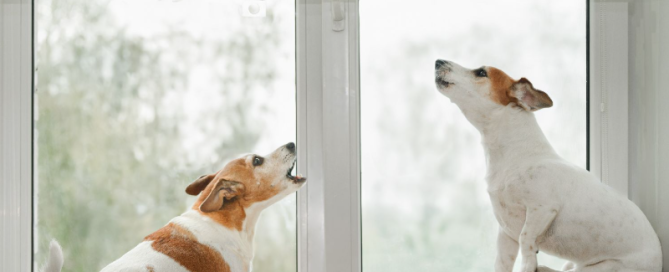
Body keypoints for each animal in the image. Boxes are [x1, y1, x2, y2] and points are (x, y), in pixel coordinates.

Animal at [434, 60, 664, 272]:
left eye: (481, 73)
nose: (438, 62)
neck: (515, 156)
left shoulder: (542, 209)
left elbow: (526, 238)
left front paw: (529, 265)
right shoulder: (506, 232)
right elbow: (501, 263)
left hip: (600, 269)